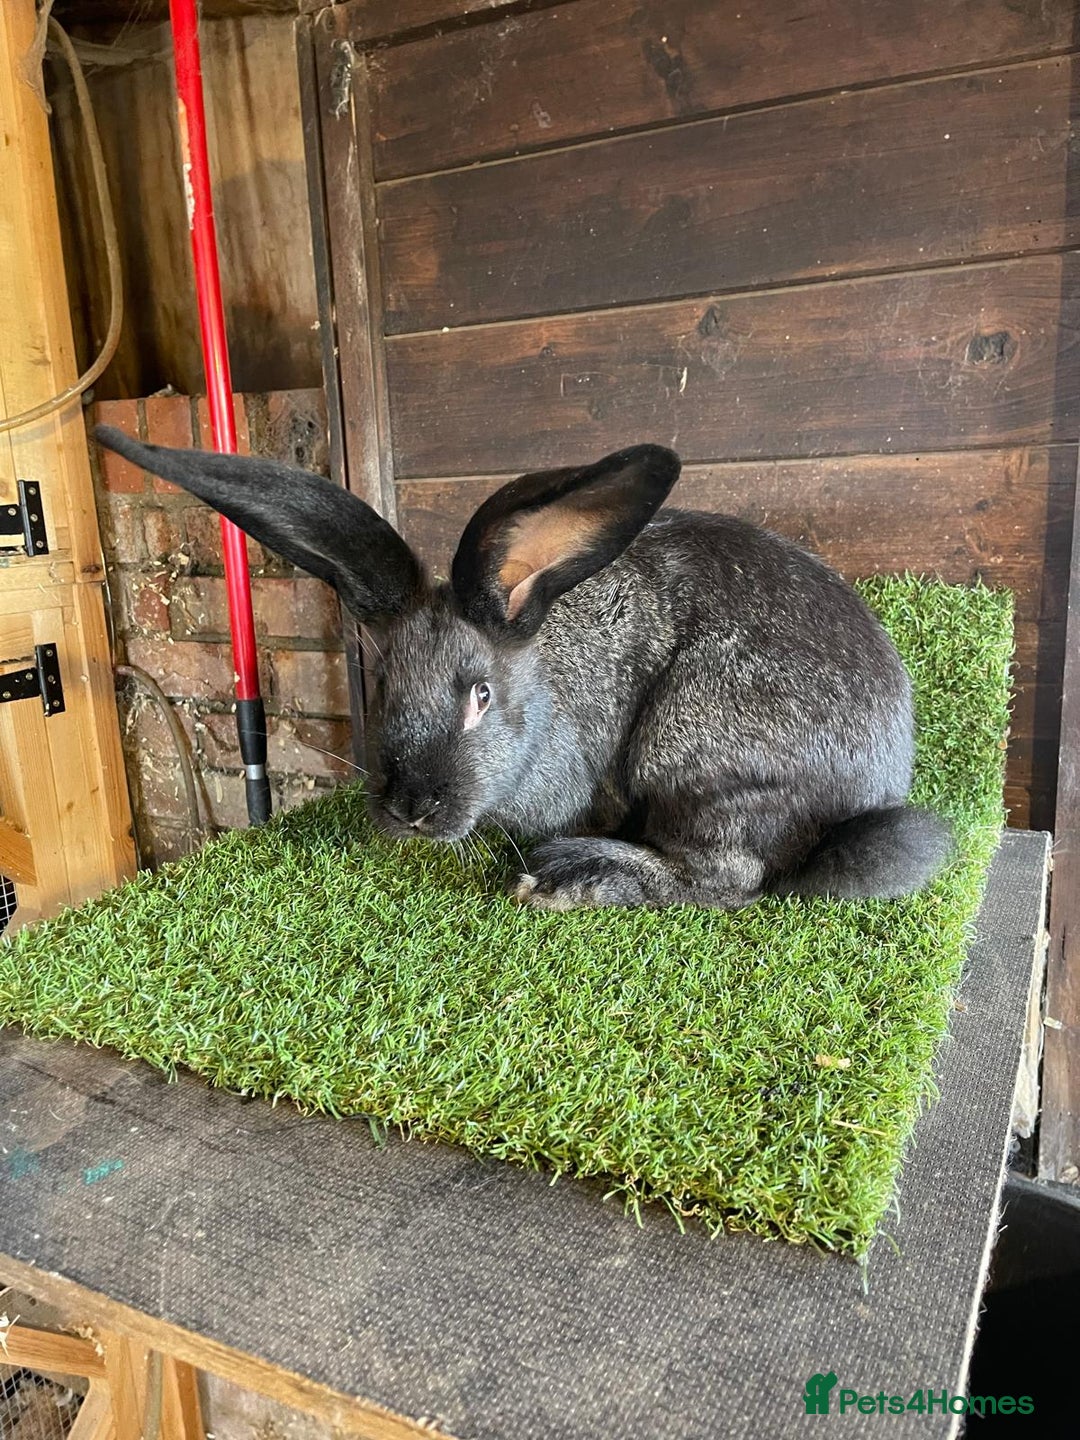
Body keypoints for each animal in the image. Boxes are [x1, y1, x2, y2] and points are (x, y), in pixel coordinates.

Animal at [94, 426, 952, 910]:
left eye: (479, 695)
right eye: (381, 686)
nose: (411, 809)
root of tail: (869, 792)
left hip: (697, 749)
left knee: (731, 880)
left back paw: (573, 878)